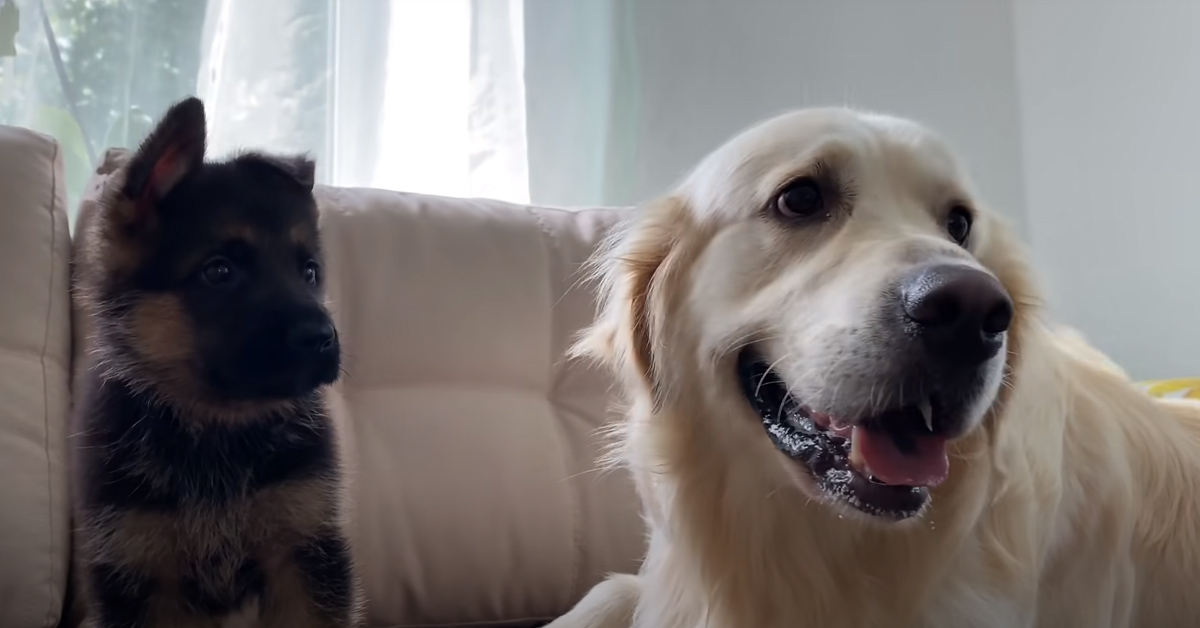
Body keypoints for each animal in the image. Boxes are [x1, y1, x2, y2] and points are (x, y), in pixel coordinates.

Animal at [69, 96, 360, 624]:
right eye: (219, 271)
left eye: (309, 273)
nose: (323, 339)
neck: (215, 426)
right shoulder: (139, 568)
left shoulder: (301, 551)